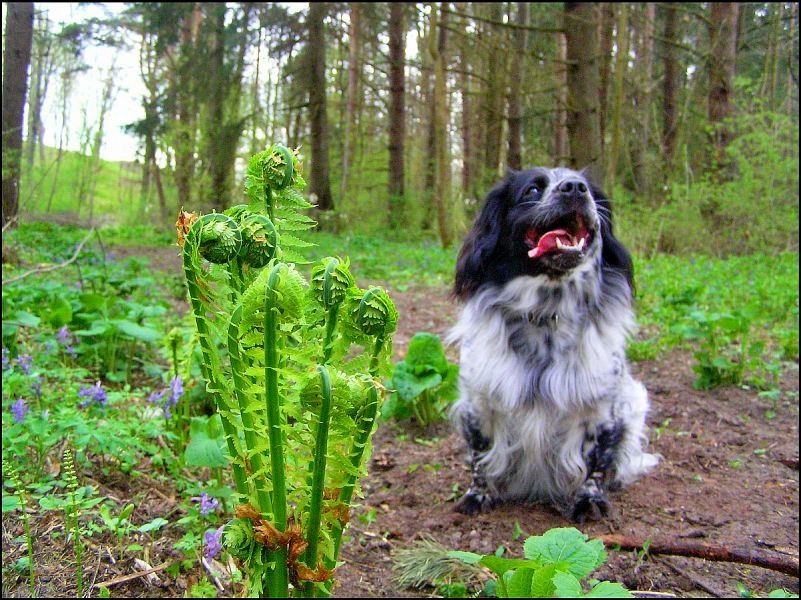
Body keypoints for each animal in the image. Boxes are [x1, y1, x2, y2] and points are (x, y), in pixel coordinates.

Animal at [446, 165, 660, 520]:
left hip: (634, 400)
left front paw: (590, 500)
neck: (547, 313)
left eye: (586, 187)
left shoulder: (602, 406)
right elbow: (480, 453)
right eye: (532, 190)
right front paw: (478, 495)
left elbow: (596, 458)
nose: (574, 188)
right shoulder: (479, 400)